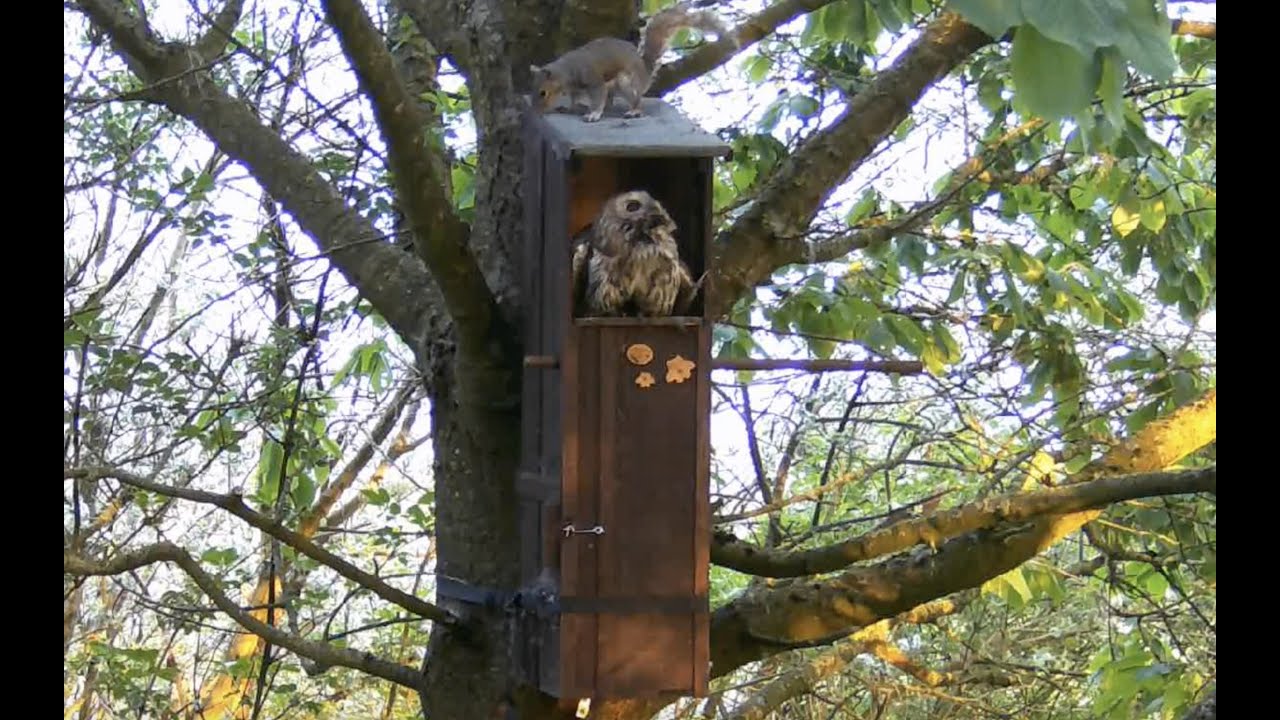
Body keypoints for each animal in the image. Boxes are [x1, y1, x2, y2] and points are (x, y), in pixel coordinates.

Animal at [530, 2, 735, 123]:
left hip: (625, 82)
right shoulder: (575, 89)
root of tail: (645, 73)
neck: (567, 72)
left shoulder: (593, 80)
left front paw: (593, 114)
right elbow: (574, 100)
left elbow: (598, 97)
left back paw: (634, 111)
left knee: (636, 99)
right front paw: (569, 108)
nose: (536, 113)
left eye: (543, 93)